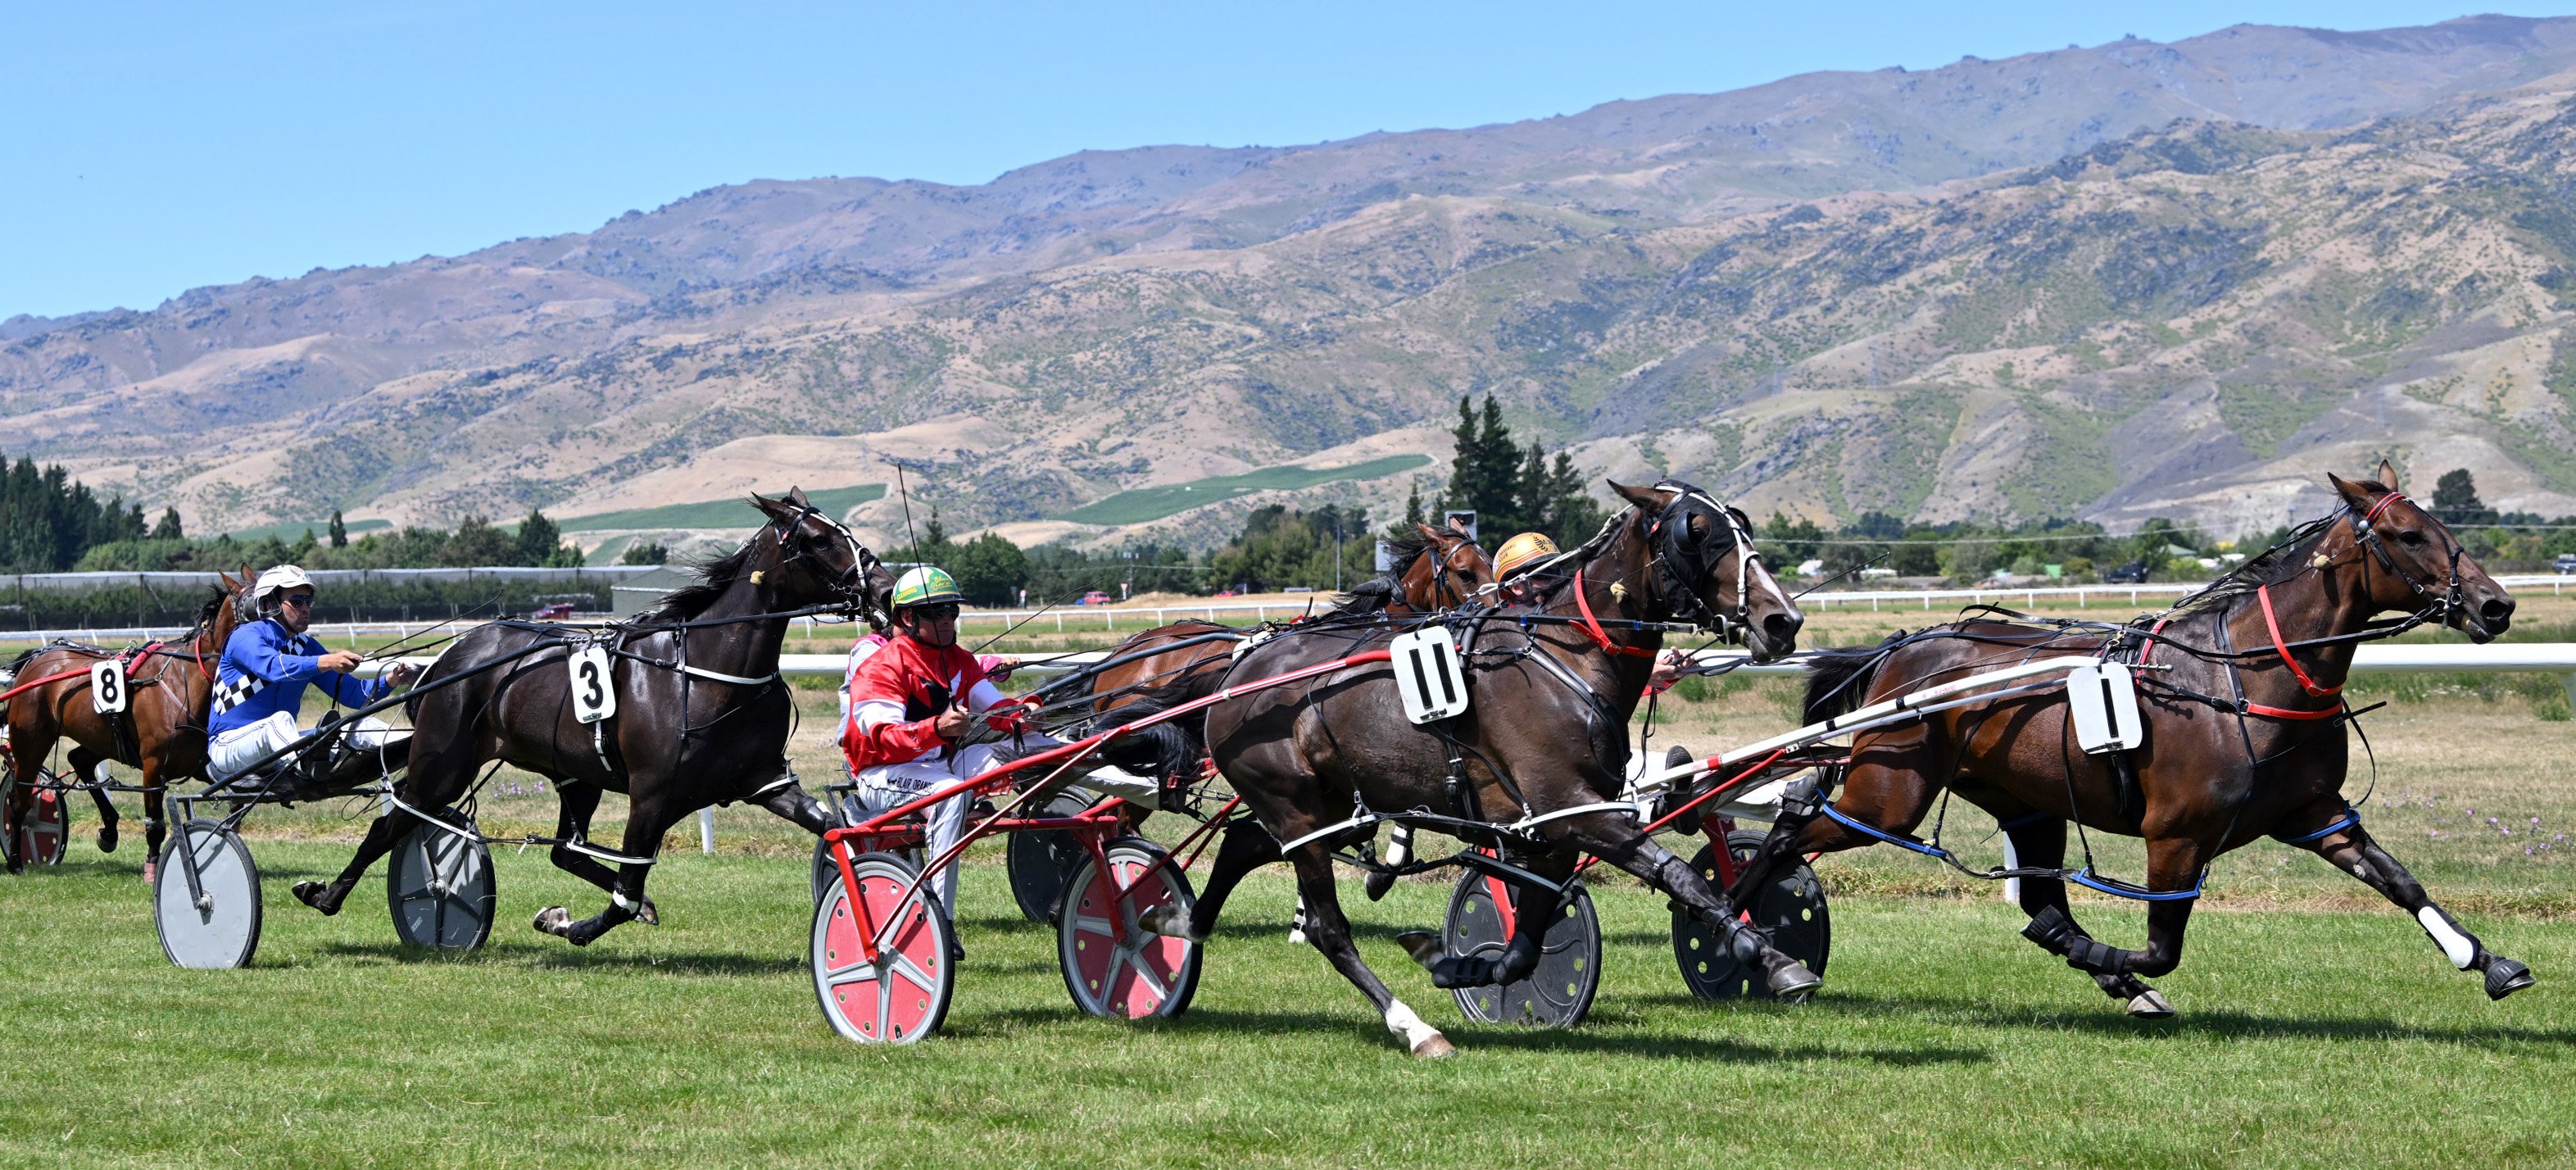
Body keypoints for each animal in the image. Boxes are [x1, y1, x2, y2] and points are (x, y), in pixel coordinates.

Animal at [2, 566, 251, 876]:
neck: (186, 680)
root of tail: (33, 660)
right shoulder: (153, 765)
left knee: (79, 760)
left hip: (101, 738)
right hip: (31, 742)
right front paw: (154, 865)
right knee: (19, 799)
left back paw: (108, 831)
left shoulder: (199, 762)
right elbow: (155, 822)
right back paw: (15, 861)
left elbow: (237, 799)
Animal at [288, 489, 896, 948]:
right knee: (390, 824)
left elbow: (831, 825)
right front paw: (574, 925)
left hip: (575, 774)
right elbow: (626, 891)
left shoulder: (765, 780)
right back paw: (326, 894)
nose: (887, 588)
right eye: (818, 540)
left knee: (562, 848)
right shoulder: (652, 795)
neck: (709, 670)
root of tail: (447, 657)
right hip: (443, 766)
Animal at [1138, 479, 1823, 1056]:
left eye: (1742, 526)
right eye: (1697, 532)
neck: (1563, 657)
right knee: (1329, 927)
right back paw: (1413, 1029)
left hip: (1325, 805)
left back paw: (1174, 919)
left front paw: (1453, 961)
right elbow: (1679, 876)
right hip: (1297, 810)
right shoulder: (1575, 812)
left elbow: (1524, 946)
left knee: (1241, 843)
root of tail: (1236, 669)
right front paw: (1771, 958)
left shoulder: (1552, 832)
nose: (1781, 619)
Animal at [1730, 464, 2534, 1015]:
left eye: (2449, 529)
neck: (2241, 677)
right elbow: (2160, 948)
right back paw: (1746, 932)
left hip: (2024, 800)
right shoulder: (2176, 835)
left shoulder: (2314, 813)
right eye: (2408, 536)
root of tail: (1900, 648)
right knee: (1789, 835)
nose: (2496, 604)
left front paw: (2490, 961)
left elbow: (2400, 881)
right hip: (1887, 796)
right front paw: (2108, 959)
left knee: (2038, 896)